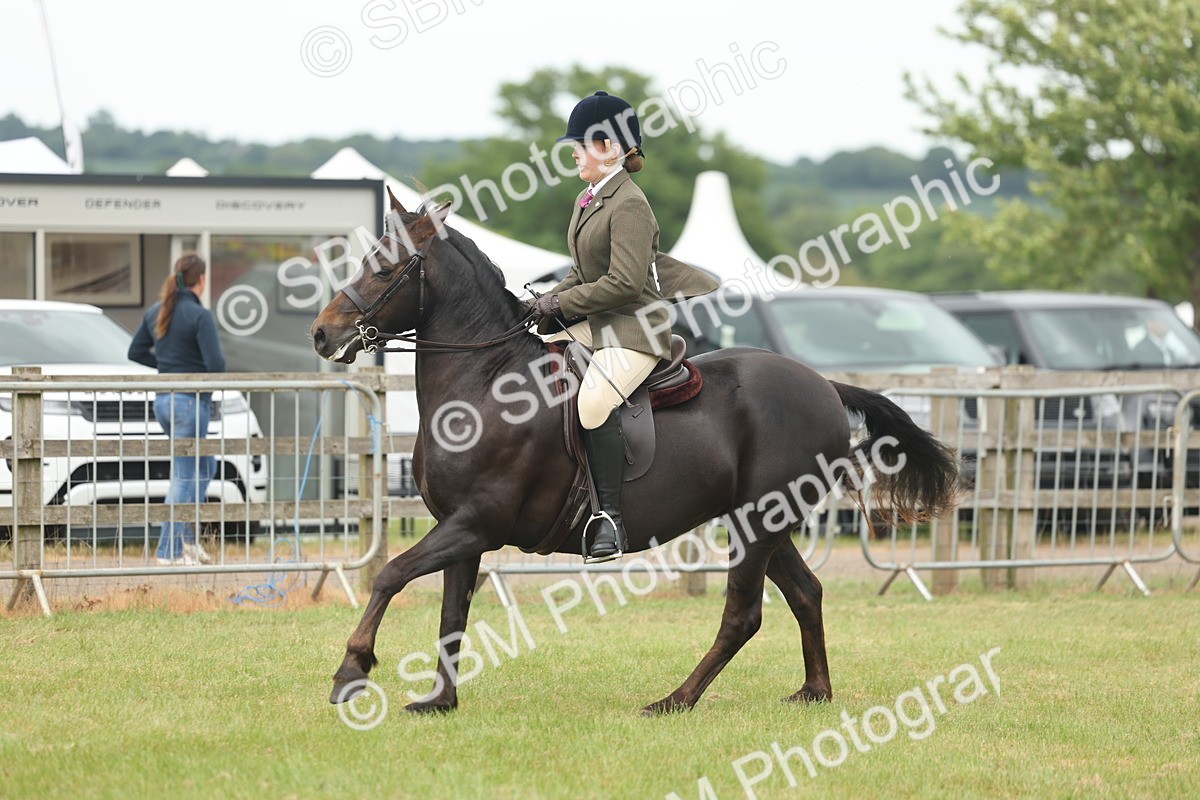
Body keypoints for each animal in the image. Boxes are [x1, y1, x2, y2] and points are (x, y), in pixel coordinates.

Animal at [310, 194, 961, 715]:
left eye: (384, 270)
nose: (322, 334)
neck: (487, 382)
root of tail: (824, 384)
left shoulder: (477, 523)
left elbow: (390, 574)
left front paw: (351, 672)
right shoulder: (461, 529)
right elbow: (451, 616)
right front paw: (440, 701)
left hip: (755, 523)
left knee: (743, 615)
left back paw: (675, 700)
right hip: (764, 522)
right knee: (806, 593)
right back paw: (814, 692)